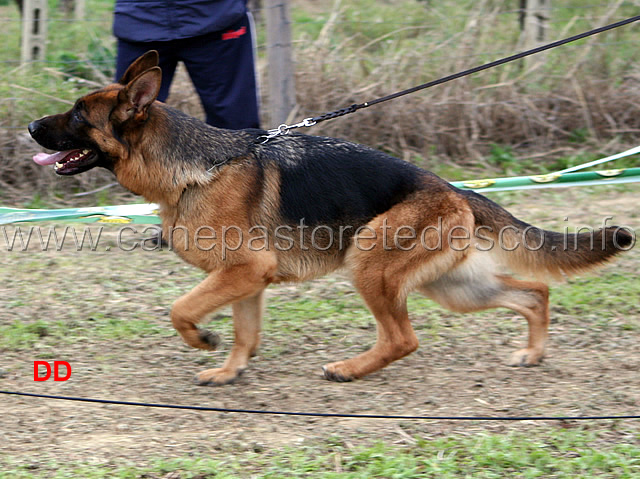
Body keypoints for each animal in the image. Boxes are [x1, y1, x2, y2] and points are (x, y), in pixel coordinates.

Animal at [28, 51, 632, 386]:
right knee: (535, 293)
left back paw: (348, 369)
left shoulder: (240, 273)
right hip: (453, 286)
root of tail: (454, 189)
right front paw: (230, 370)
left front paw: (202, 340)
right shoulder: (247, 281)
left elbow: (181, 309)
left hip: (371, 264)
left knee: (403, 339)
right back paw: (532, 353)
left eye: (79, 115)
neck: (198, 168)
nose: (30, 127)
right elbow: (246, 332)